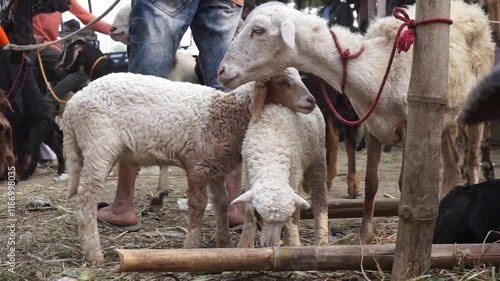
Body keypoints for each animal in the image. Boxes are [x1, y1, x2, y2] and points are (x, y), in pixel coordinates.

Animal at [62, 68, 316, 264]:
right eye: (282, 82)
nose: (312, 101)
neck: (227, 114)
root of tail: (72, 106)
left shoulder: (215, 166)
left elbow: (221, 202)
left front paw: (224, 243)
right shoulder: (197, 165)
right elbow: (198, 204)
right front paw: (192, 245)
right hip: (98, 144)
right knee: (87, 198)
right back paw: (94, 254)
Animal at [233, 102, 330, 245]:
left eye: (285, 219)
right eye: (258, 214)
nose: (270, 244)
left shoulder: (294, 173)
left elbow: (292, 222)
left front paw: (294, 244)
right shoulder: (249, 176)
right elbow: (248, 215)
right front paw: (244, 245)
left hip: (318, 157)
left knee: (320, 199)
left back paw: (321, 240)